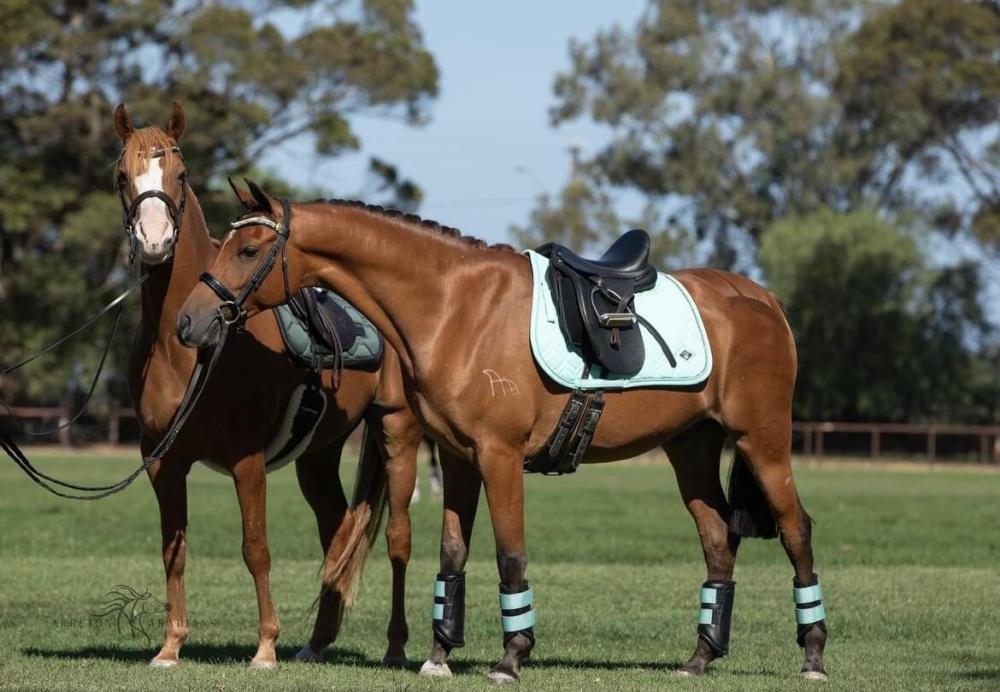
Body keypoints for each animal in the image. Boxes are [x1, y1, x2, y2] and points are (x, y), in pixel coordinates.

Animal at [113, 103, 426, 668]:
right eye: (122, 176)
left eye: (181, 174)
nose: (155, 241)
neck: (187, 349)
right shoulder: (162, 462)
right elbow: (174, 549)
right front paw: (170, 646)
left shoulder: (247, 461)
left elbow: (255, 548)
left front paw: (265, 647)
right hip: (317, 456)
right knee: (337, 531)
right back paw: (318, 641)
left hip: (397, 433)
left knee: (396, 537)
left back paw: (394, 646)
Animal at [176, 181, 828, 683]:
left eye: (249, 248)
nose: (189, 322)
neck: (453, 306)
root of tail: (762, 298)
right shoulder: (458, 458)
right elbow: (452, 552)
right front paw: (438, 655)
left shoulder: (500, 456)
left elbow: (509, 554)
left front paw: (511, 657)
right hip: (690, 449)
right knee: (718, 541)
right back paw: (699, 658)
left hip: (764, 443)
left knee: (797, 531)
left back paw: (813, 656)